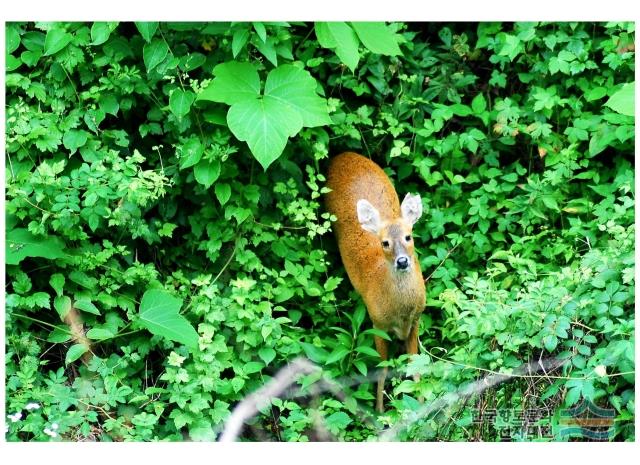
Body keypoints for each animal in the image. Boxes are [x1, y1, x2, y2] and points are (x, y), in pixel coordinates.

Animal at [324, 151, 424, 410]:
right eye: (385, 242)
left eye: (408, 236)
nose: (402, 261)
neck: (401, 312)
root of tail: (343, 155)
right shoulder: (377, 323)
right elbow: (382, 369)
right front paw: (379, 411)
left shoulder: (417, 319)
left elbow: (416, 365)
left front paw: (422, 403)